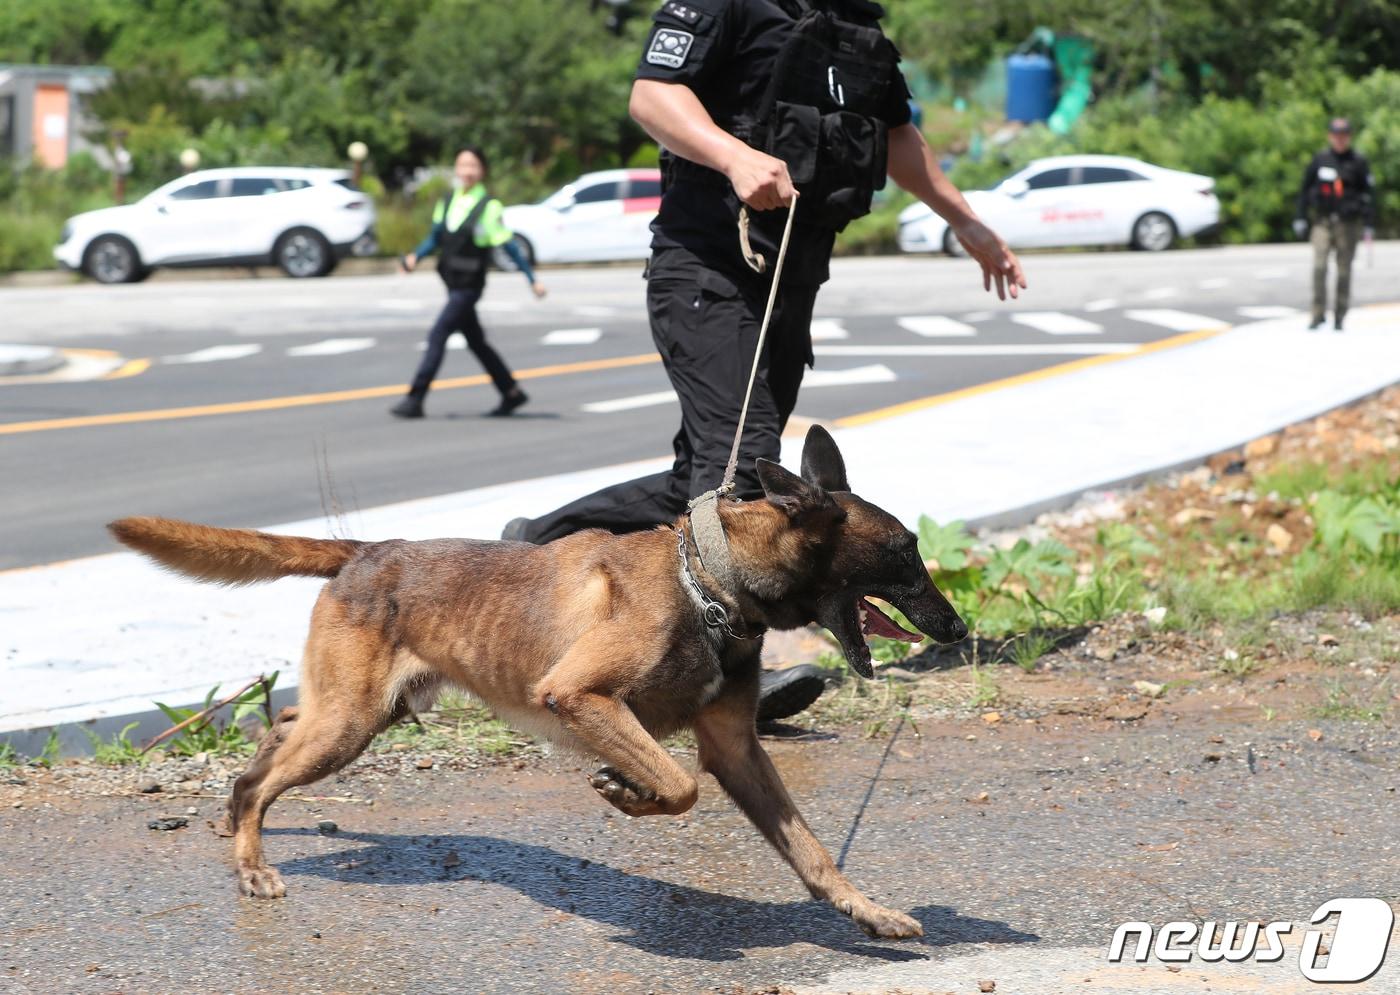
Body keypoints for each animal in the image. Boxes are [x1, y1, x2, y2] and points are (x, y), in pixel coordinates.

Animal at [109, 428, 968, 940]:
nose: (959, 629)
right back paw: (251, 856)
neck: (709, 583)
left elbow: (809, 848)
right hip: (348, 722)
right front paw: (629, 790)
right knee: (263, 777)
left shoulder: (735, 747)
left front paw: (864, 909)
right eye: (904, 551)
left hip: (353, 715)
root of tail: (367, 549)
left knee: (268, 744)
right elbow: (679, 782)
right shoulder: (580, 695)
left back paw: (236, 822)